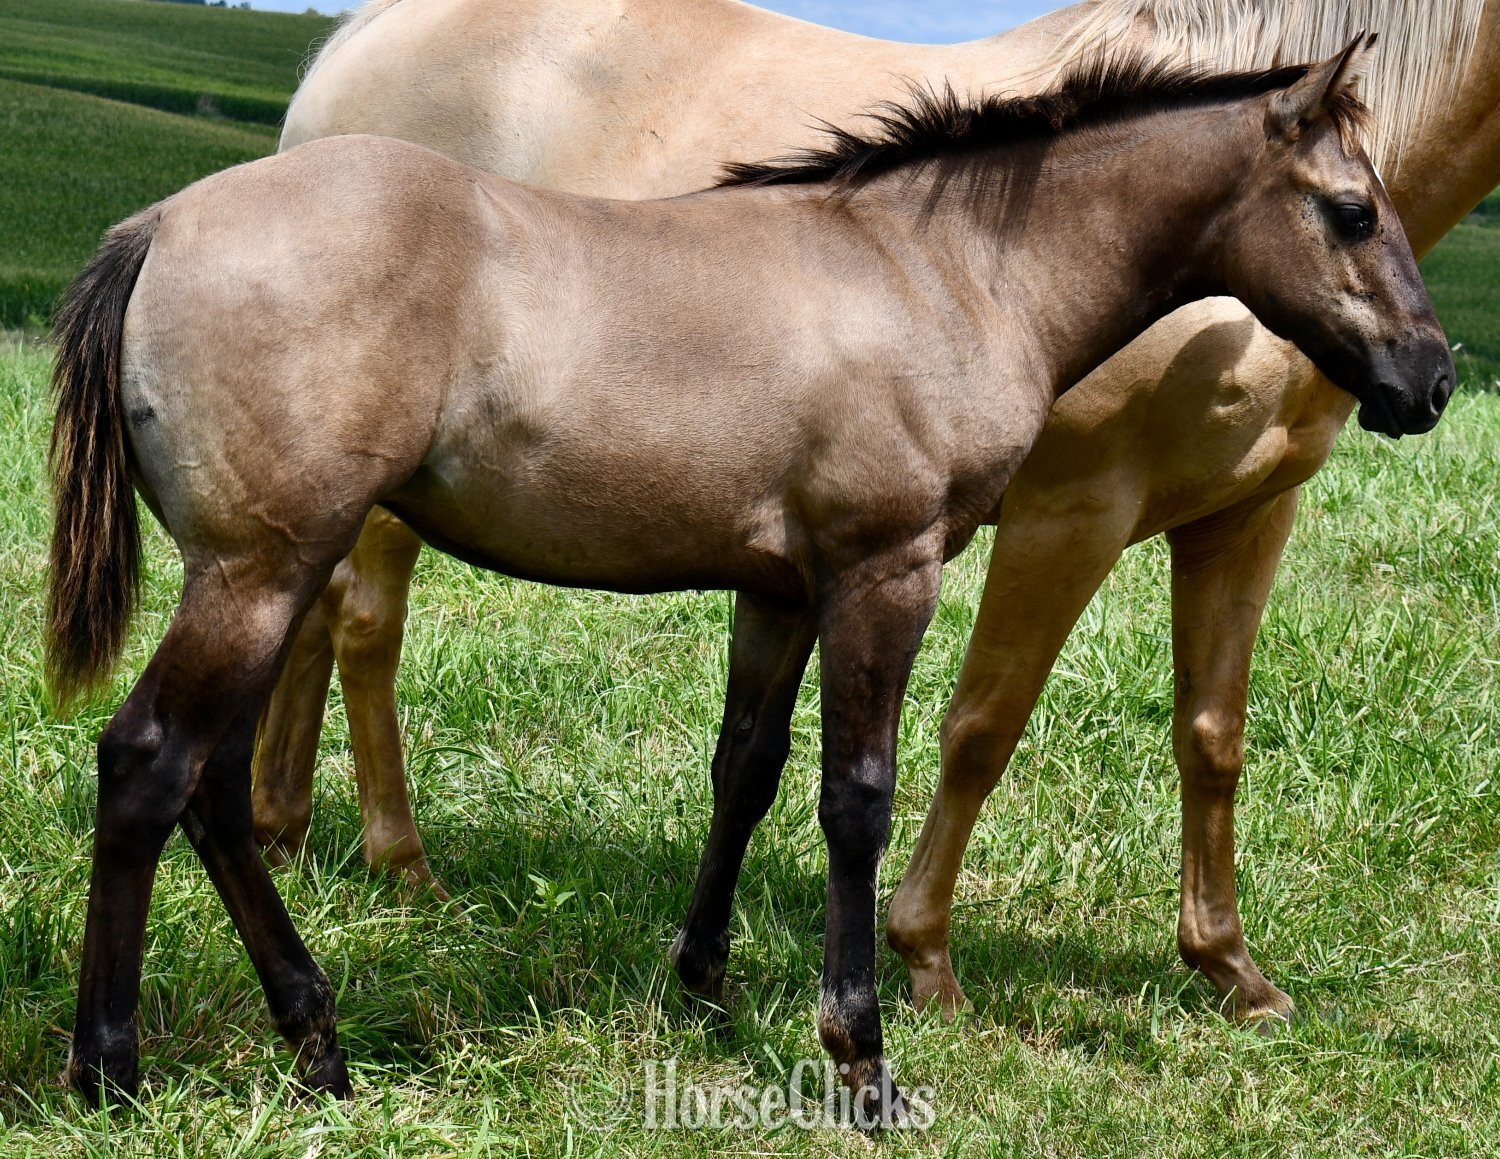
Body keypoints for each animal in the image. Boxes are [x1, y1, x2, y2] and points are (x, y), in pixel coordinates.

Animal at [50, 46, 1450, 1112]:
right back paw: (112, 1069)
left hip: (271, 573)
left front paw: (705, 983)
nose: (1431, 380)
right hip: (258, 571)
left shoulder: (780, 587)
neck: (937, 271)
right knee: (150, 764)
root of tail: (161, 224)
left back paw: (318, 1043)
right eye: (1351, 209)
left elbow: (747, 770)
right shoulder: (884, 572)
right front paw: (862, 1056)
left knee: (215, 789)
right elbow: (854, 800)